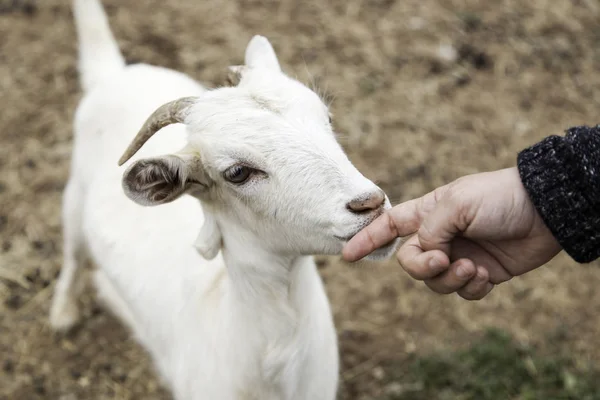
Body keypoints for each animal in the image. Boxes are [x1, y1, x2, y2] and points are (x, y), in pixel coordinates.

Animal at [49, 0, 400, 398]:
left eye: (326, 117)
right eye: (237, 172)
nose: (369, 204)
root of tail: (114, 74)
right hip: (74, 196)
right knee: (73, 253)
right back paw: (63, 313)